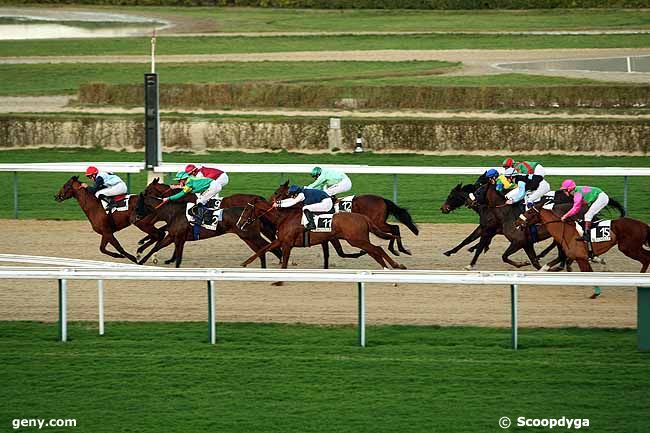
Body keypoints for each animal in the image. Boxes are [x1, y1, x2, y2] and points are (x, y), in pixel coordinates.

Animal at [235, 197, 402, 276]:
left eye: (246, 210)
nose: (239, 223)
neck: (283, 217)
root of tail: (363, 217)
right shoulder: (280, 240)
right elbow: (262, 249)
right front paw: (243, 264)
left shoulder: (287, 243)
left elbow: (284, 262)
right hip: (359, 240)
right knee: (375, 250)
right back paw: (389, 266)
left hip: (356, 240)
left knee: (377, 249)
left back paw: (396, 265)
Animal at [270, 180, 418, 255]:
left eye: (277, 192)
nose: (271, 201)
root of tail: (382, 200)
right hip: (378, 223)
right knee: (395, 229)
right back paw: (398, 249)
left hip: (378, 222)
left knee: (395, 228)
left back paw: (398, 249)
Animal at [516, 197, 648, 272]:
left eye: (530, 212)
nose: (517, 222)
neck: (565, 230)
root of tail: (645, 225)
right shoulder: (574, 256)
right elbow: (549, 265)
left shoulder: (580, 258)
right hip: (633, 248)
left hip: (628, 248)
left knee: (646, 259)